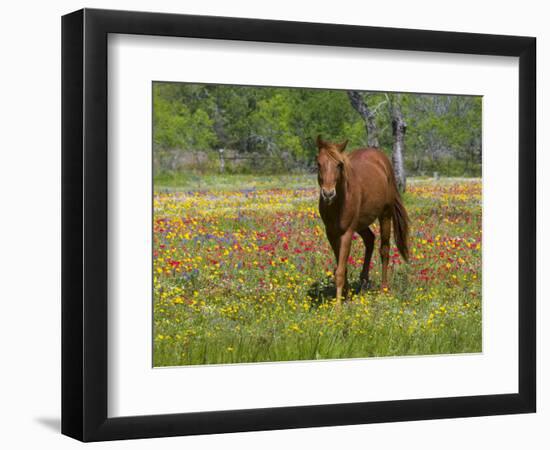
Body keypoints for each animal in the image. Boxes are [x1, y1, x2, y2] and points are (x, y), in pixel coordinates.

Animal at [320, 135, 410, 300]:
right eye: (318, 164)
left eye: (339, 165)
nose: (328, 194)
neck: (338, 203)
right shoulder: (331, 233)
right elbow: (341, 267)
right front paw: (346, 296)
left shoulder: (347, 233)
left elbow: (340, 270)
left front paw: (338, 305)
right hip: (361, 224)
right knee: (370, 240)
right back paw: (363, 280)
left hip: (385, 215)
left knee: (384, 249)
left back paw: (383, 288)